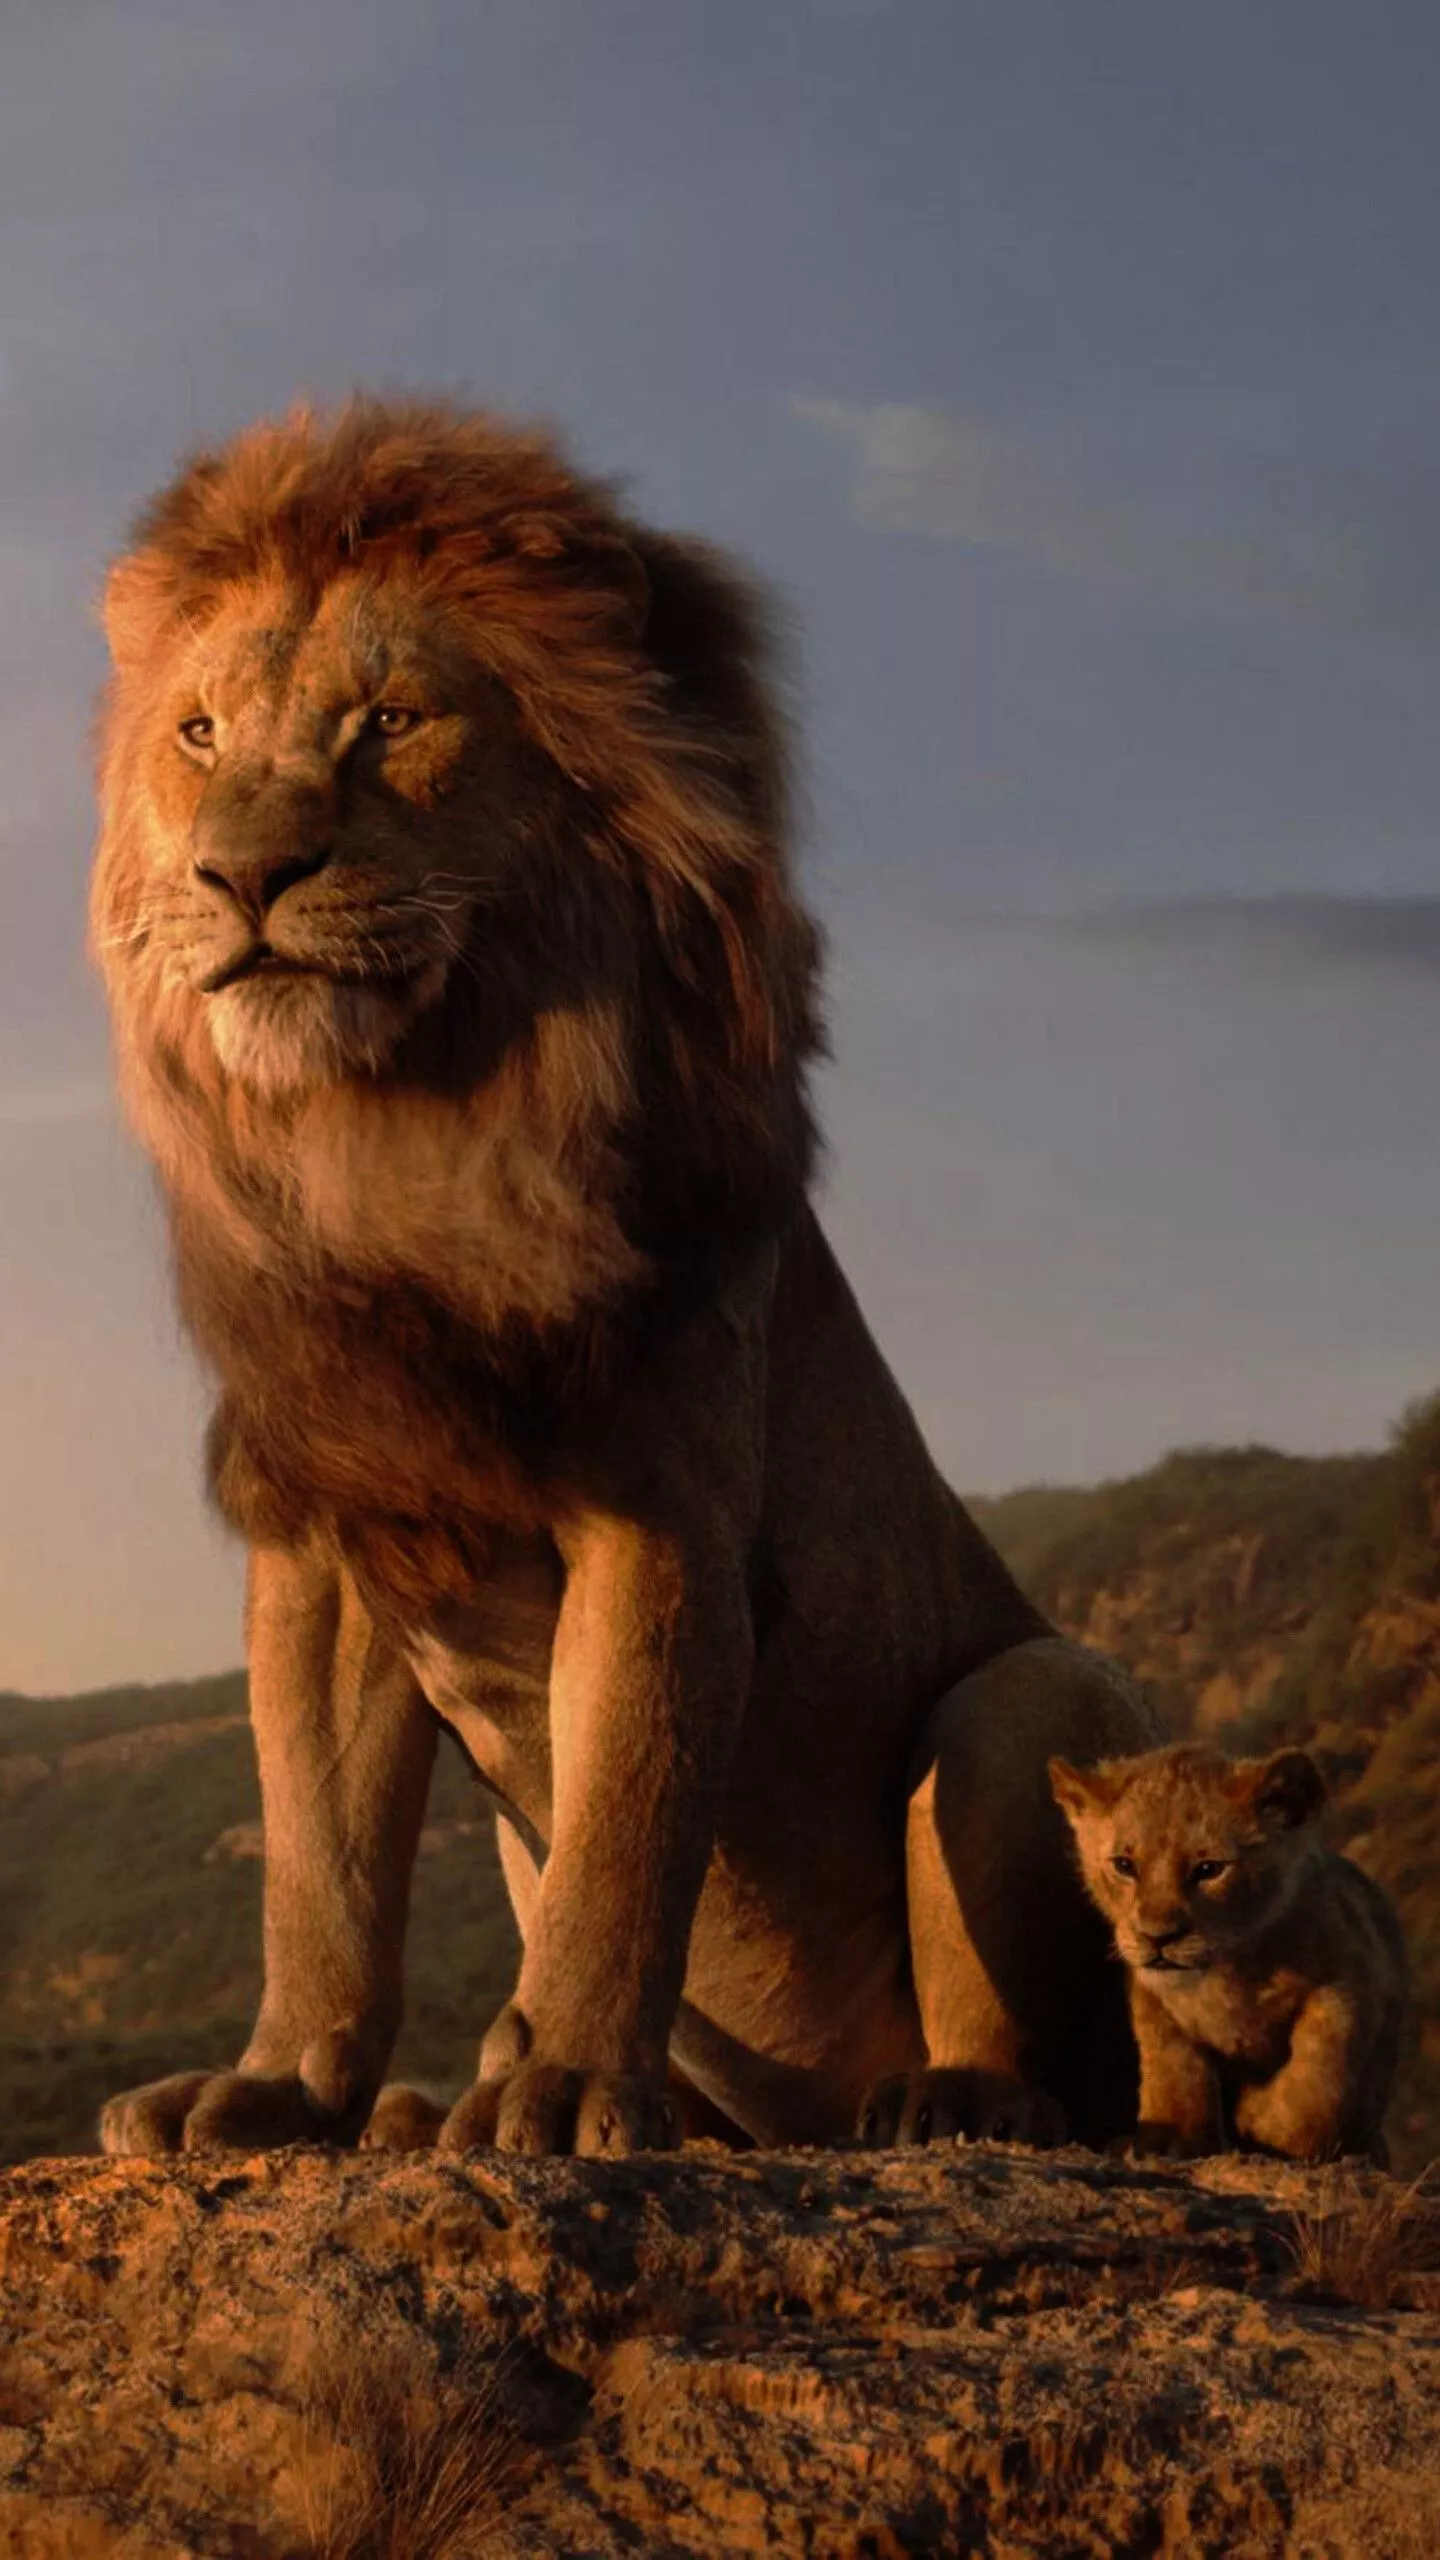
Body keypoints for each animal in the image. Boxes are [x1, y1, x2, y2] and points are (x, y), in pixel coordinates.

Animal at [90, 397, 1153, 2162]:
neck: (397, 1138)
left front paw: (570, 2086)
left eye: (392, 721)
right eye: (198, 736)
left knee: (1047, 2056)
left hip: (1030, 1694)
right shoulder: (329, 1539)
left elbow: (626, 1829)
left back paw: (941, 2102)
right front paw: (280, 2087)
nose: (243, 875)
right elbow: (320, 1866)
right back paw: (433, 2111)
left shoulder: (661, 1516)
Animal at [1050, 1743, 1407, 2163]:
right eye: (1124, 1865)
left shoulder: (1351, 1978)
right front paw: (1170, 2138)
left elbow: (1319, 2070)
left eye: (1209, 1869)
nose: (1157, 1937)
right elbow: (1173, 2064)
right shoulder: (1151, 1997)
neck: (1226, 1971)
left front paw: (1263, 2120)